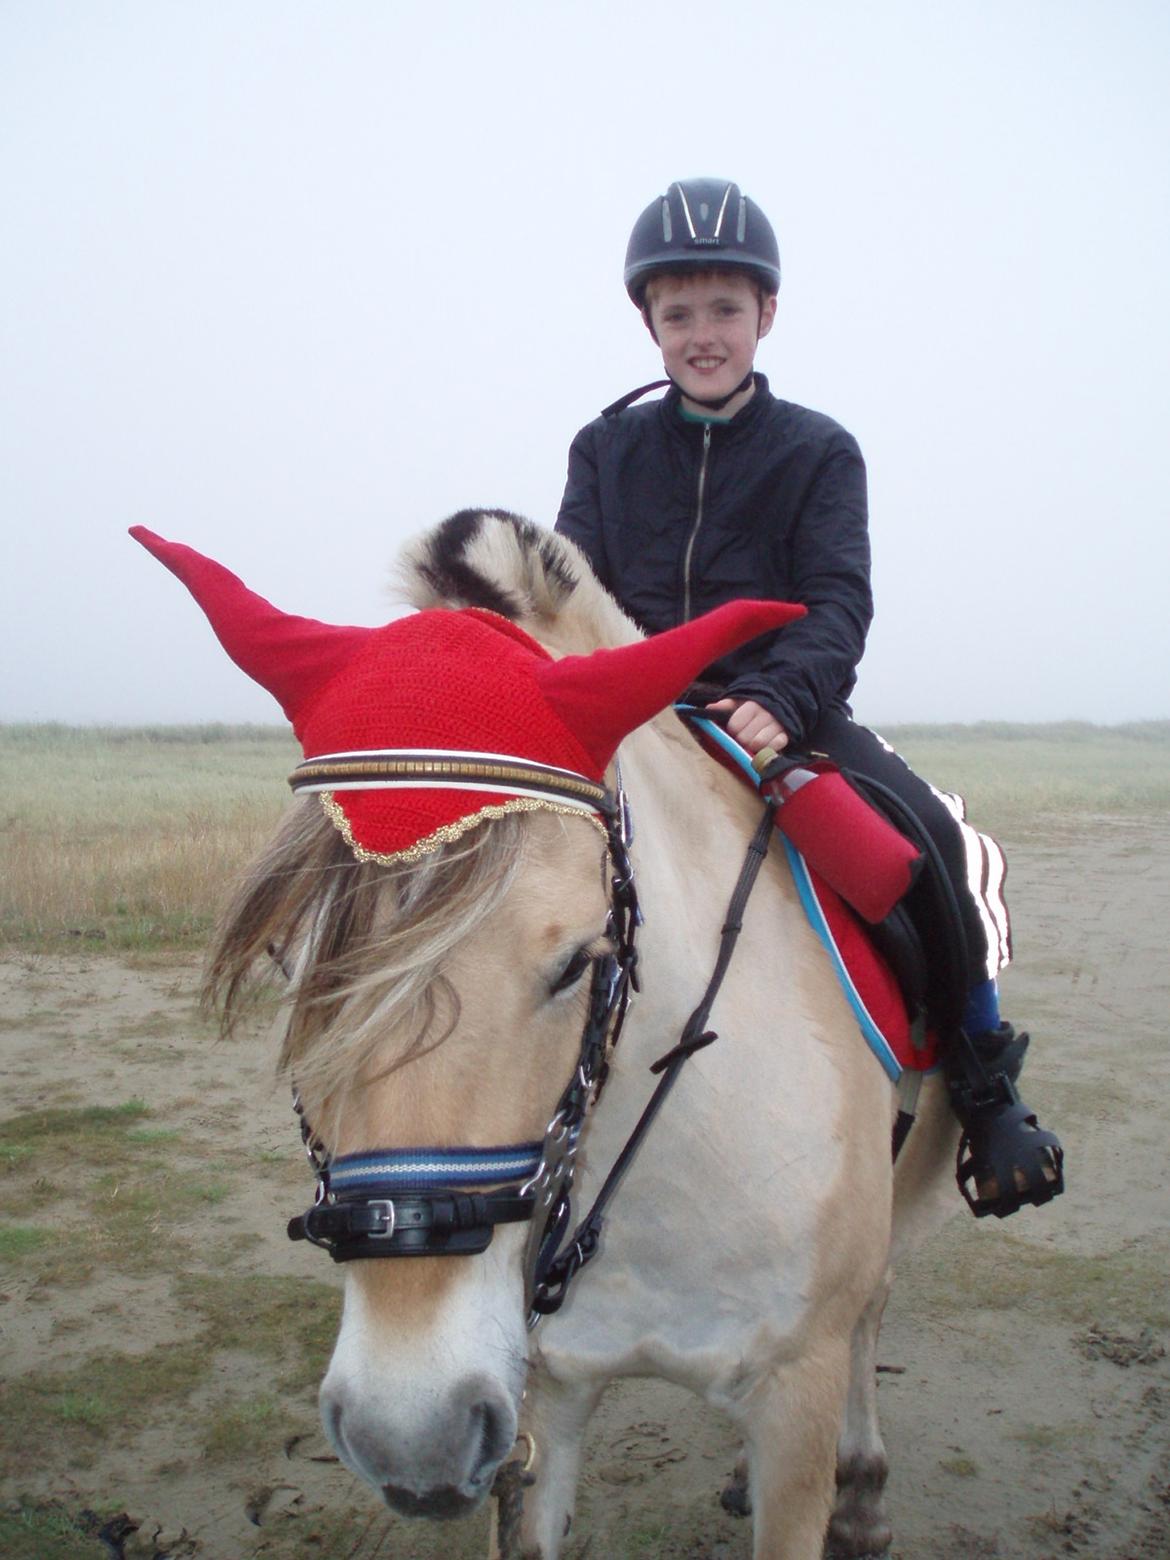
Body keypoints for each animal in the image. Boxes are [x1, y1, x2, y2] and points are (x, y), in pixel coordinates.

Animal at [187, 514, 967, 1560]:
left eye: (576, 962)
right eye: (295, 961)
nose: (411, 1430)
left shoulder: (796, 1392)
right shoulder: (544, 1399)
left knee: (874, 1303)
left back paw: (867, 1489)